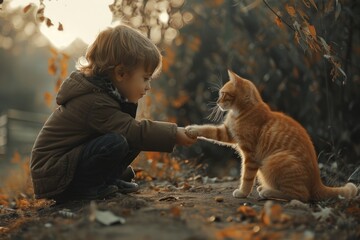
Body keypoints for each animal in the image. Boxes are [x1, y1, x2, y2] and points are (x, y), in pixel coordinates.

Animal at [186, 70, 358, 202]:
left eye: (223, 94)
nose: (217, 102)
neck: (242, 111)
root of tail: (318, 182)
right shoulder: (227, 133)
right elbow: (208, 130)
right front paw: (191, 129)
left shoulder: (250, 156)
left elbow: (246, 177)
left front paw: (242, 192)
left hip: (273, 161)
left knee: (300, 196)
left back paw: (267, 192)